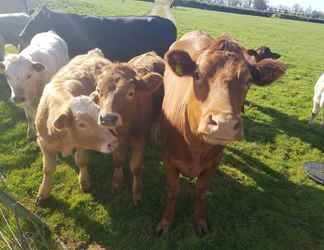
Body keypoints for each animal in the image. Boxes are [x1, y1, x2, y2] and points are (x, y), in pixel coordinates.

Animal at [35, 48, 117, 205]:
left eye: (99, 114)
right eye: (81, 124)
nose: (113, 143)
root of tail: (93, 53)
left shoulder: (83, 144)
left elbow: (81, 161)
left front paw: (84, 182)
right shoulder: (44, 143)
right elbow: (48, 169)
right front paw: (43, 193)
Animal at [90, 50, 165, 205]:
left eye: (131, 93)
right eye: (98, 90)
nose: (108, 118)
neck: (124, 130)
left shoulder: (140, 141)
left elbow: (135, 167)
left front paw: (137, 193)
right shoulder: (114, 140)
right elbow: (118, 161)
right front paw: (116, 182)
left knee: (155, 123)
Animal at [157, 31, 286, 234]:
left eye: (248, 81)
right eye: (197, 74)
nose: (224, 124)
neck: (195, 146)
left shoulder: (213, 163)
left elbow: (201, 192)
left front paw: (200, 221)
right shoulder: (168, 157)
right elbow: (172, 191)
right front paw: (166, 222)